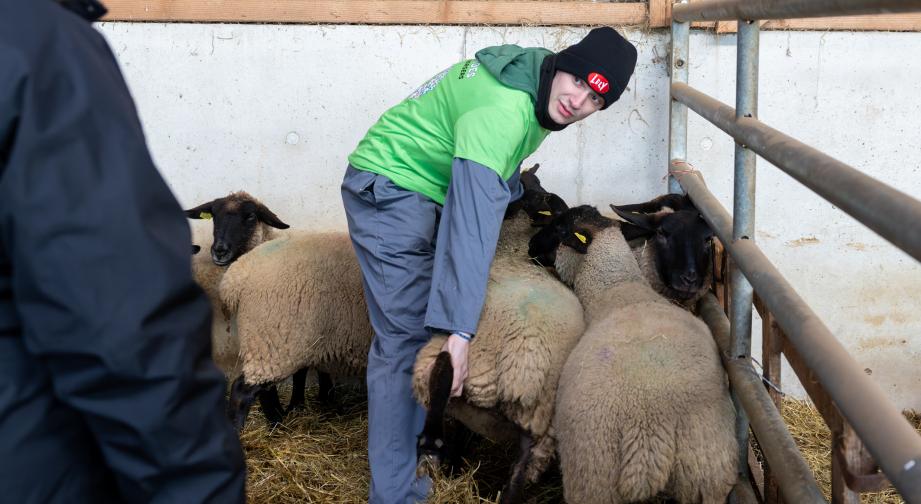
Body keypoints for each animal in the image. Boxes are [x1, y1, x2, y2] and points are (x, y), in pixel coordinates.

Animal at [524, 206, 732, 504]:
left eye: (559, 227)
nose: (530, 245)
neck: (616, 286)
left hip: (593, 479)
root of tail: (648, 437)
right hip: (709, 476)